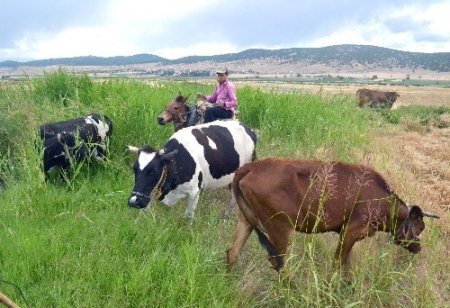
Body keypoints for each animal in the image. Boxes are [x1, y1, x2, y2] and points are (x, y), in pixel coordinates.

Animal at [128, 119, 258, 220]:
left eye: (153, 172)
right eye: (134, 169)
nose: (133, 201)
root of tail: (249, 129)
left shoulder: (194, 192)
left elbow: (188, 216)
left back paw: (226, 214)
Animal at [227, 159, 438, 272]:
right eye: (420, 228)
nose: (418, 248)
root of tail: (249, 168)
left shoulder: (346, 233)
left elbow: (346, 264)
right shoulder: (351, 232)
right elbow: (339, 262)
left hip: (246, 220)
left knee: (232, 253)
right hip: (279, 227)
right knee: (278, 263)